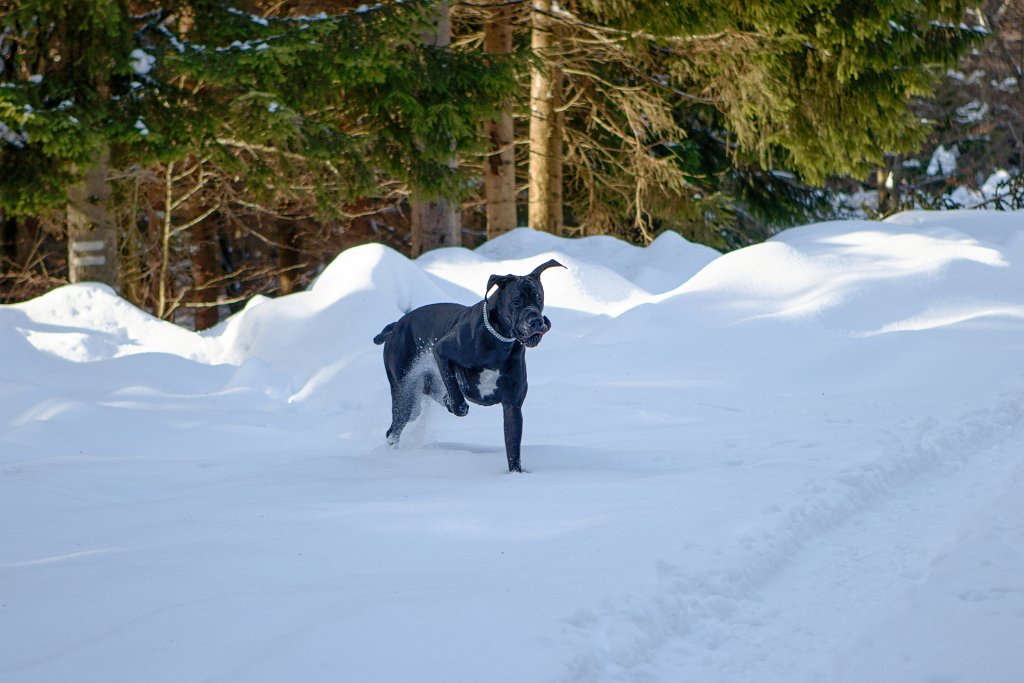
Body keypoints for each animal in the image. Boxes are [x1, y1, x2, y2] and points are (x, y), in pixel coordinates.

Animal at [376, 259, 565, 473]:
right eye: (516, 300)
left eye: (539, 298)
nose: (536, 321)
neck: (498, 341)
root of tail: (395, 326)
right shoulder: (441, 352)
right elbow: (459, 400)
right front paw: (456, 395)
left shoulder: (512, 406)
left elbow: (513, 447)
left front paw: (516, 475)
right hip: (405, 394)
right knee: (394, 429)